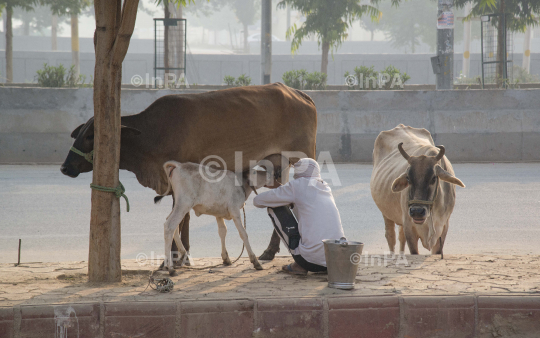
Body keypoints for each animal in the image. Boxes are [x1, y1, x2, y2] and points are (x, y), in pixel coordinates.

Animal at [61, 82, 316, 262]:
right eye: (80, 134)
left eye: (90, 136)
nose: (65, 167)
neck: (152, 134)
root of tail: (300, 94)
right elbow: (181, 218)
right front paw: (183, 254)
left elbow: (180, 218)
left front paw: (176, 257)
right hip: (278, 164)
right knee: (281, 202)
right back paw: (270, 251)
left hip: (301, 157)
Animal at [372, 125, 464, 255]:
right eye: (408, 178)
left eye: (433, 178)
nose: (417, 211)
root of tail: (400, 126)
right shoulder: (409, 227)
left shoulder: (443, 227)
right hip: (386, 213)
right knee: (391, 237)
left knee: (400, 237)